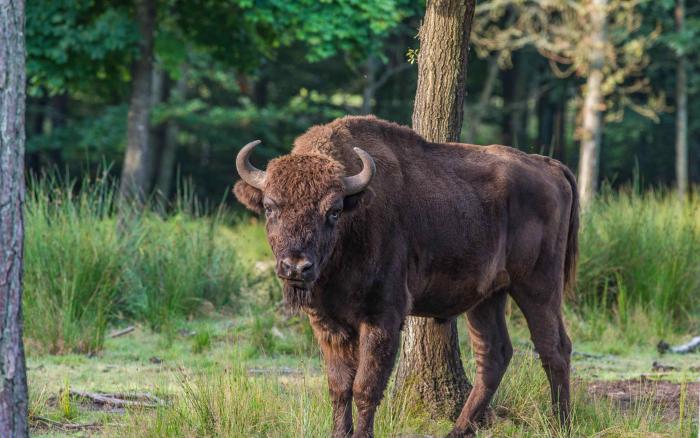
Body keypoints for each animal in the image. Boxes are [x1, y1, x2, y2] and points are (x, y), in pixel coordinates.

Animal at [234, 115, 578, 437]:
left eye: (333, 211)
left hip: (537, 285)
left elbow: (365, 386)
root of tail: (549, 166)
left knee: (554, 348)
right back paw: (458, 430)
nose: (296, 266)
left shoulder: (383, 317)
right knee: (494, 353)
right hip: (488, 296)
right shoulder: (327, 323)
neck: (354, 219)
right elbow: (339, 386)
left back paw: (560, 424)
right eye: (270, 207)